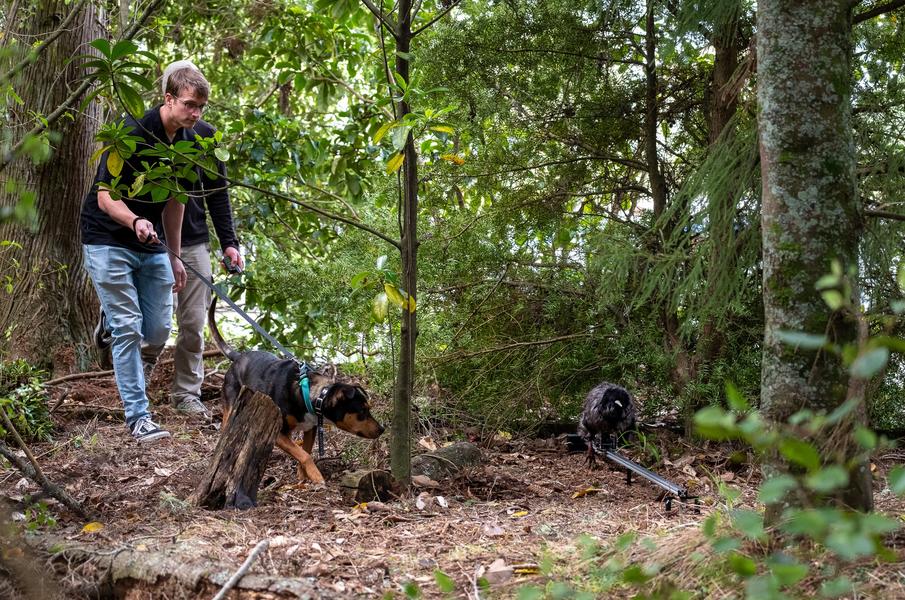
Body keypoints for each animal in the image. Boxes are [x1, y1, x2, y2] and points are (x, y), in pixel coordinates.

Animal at [208, 296, 385, 484]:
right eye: (362, 411)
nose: (382, 429)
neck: (310, 395)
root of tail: (238, 356)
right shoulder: (279, 432)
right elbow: (305, 455)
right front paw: (317, 477)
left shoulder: (310, 429)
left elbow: (304, 452)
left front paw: (303, 477)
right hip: (231, 405)